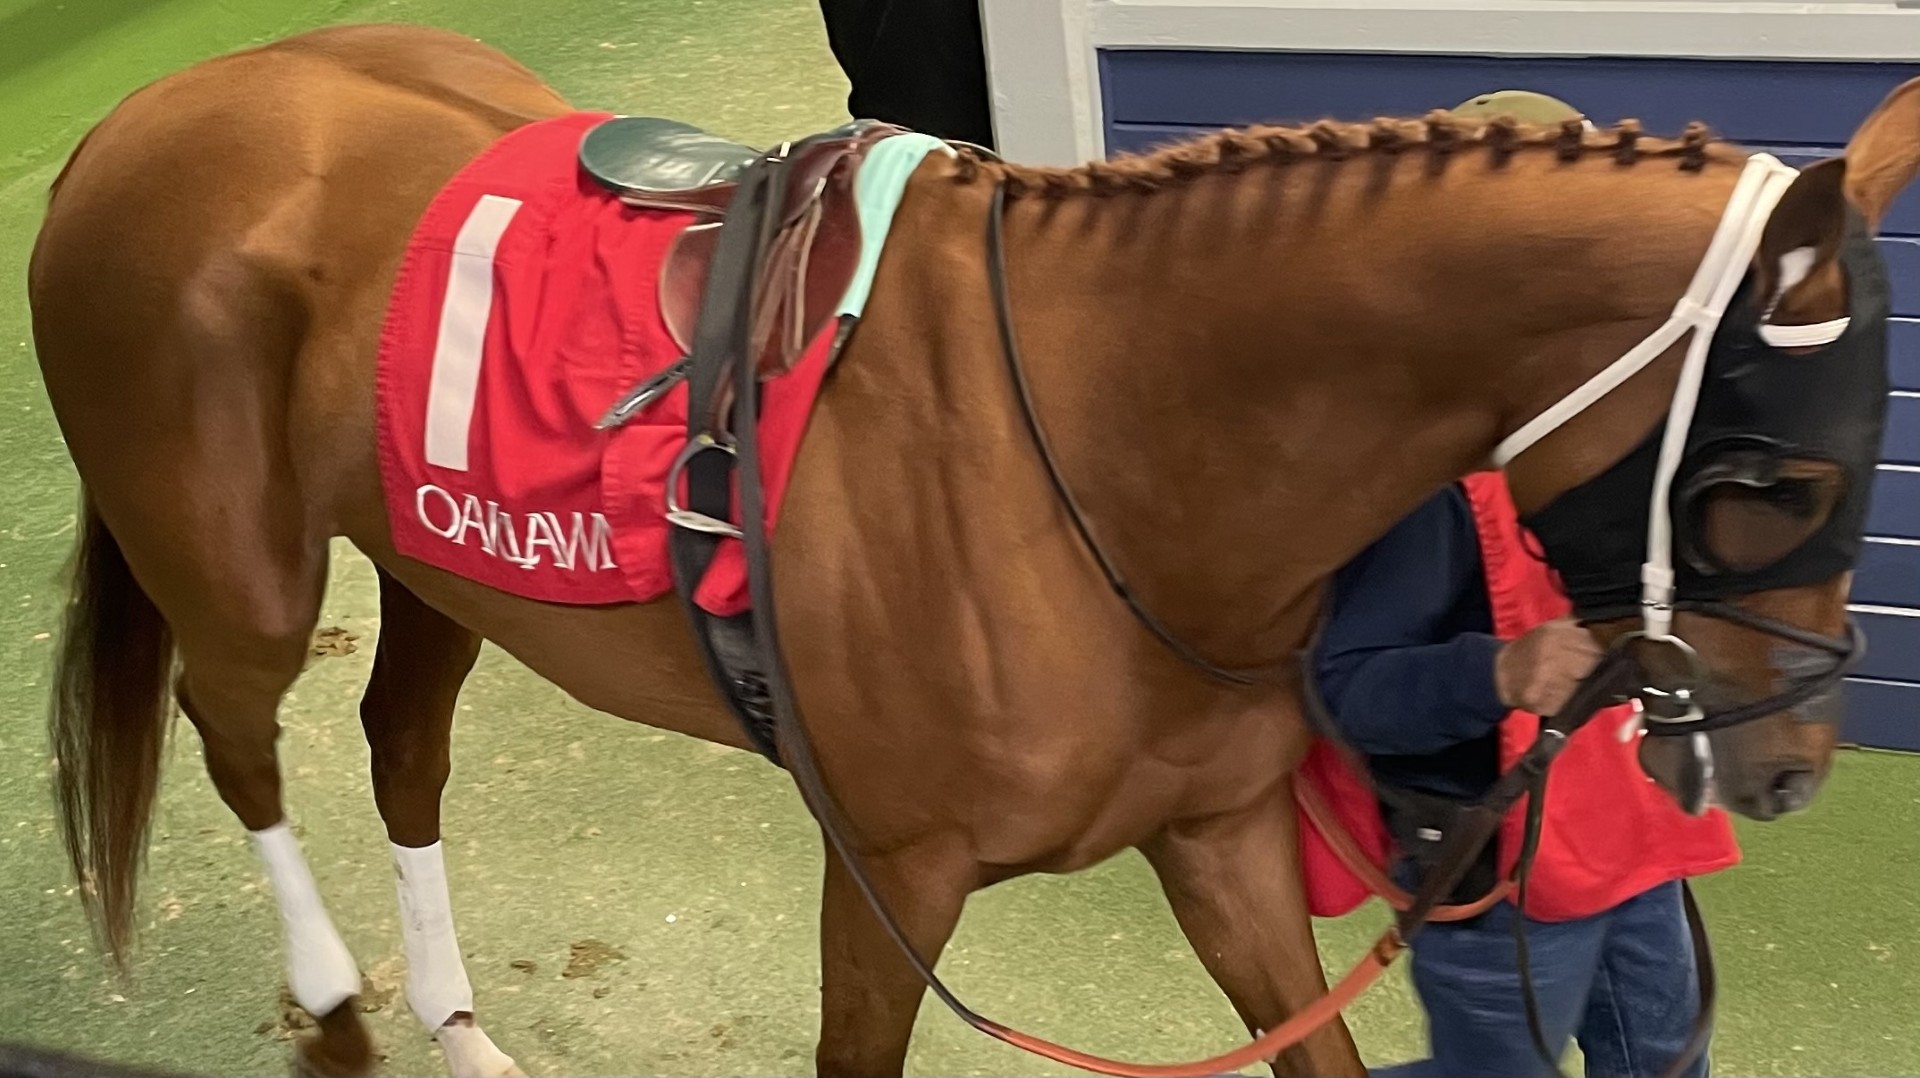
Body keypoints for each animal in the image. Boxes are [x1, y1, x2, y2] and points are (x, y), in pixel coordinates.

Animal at [27, 22, 1920, 1078]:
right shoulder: (889, 877)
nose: (1793, 763)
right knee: (238, 731)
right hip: (242, 569)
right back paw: (335, 995)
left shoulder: (1222, 841)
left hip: (437, 560)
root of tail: (143, 115)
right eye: (1762, 476)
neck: (1101, 438)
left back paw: (457, 1020)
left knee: (401, 744)